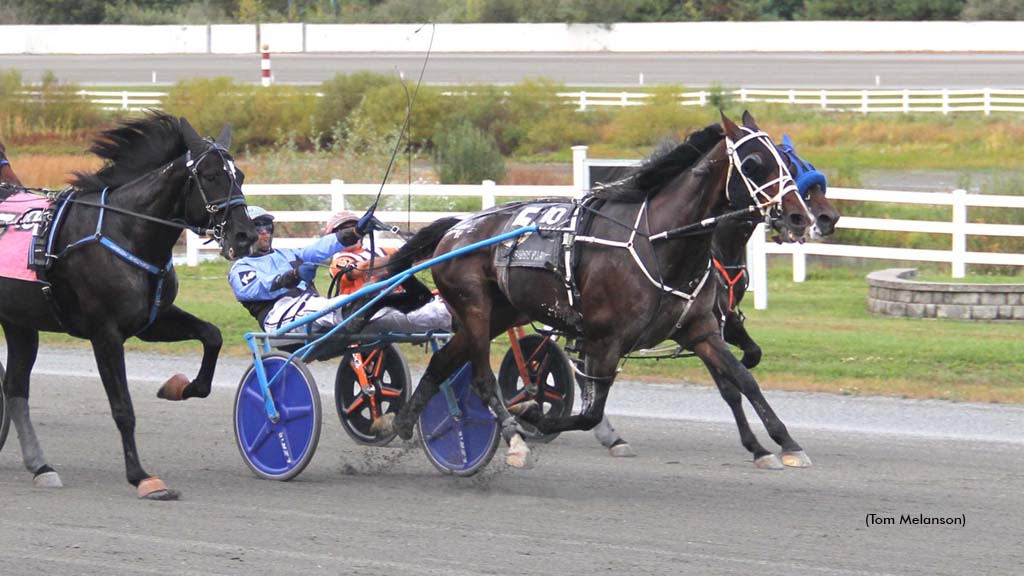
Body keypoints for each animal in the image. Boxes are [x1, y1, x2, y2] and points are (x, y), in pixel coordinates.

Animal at [0, 112, 256, 498]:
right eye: (211, 176)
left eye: (238, 176)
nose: (246, 235)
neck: (124, 230)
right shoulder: (105, 332)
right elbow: (123, 407)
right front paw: (141, 476)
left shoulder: (152, 320)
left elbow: (212, 336)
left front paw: (180, 387)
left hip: (19, 323)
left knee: (15, 387)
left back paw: (41, 466)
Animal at [376, 109, 815, 469]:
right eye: (754, 163)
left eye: (784, 159)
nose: (801, 217)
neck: (659, 241)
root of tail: (456, 228)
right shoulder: (605, 340)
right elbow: (588, 412)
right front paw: (535, 415)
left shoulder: (700, 329)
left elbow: (743, 379)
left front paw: (782, 444)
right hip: (475, 308)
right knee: (481, 377)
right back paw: (513, 437)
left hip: (500, 313)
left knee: (443, 361)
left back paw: (399, 423)